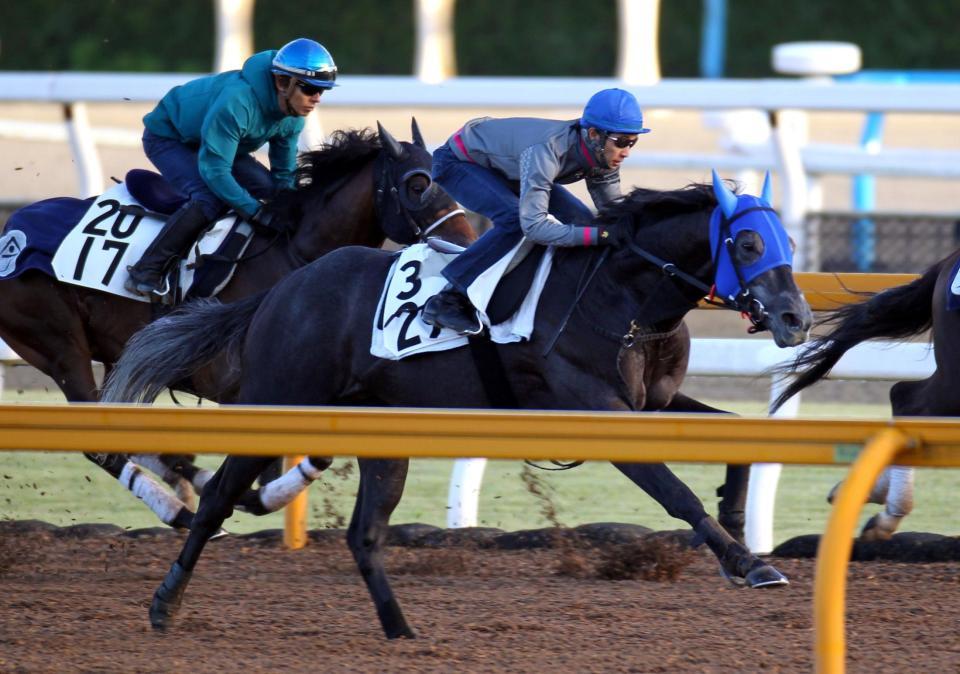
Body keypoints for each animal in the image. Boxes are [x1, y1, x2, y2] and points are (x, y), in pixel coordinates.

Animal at [0, 122, 476, 532]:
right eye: (417, 185)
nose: (466, 243)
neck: (294, 252)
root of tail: (11, 231)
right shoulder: (244, 389)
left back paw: (184, 480)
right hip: (59, 345)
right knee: (98, 443)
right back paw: (179, 507)